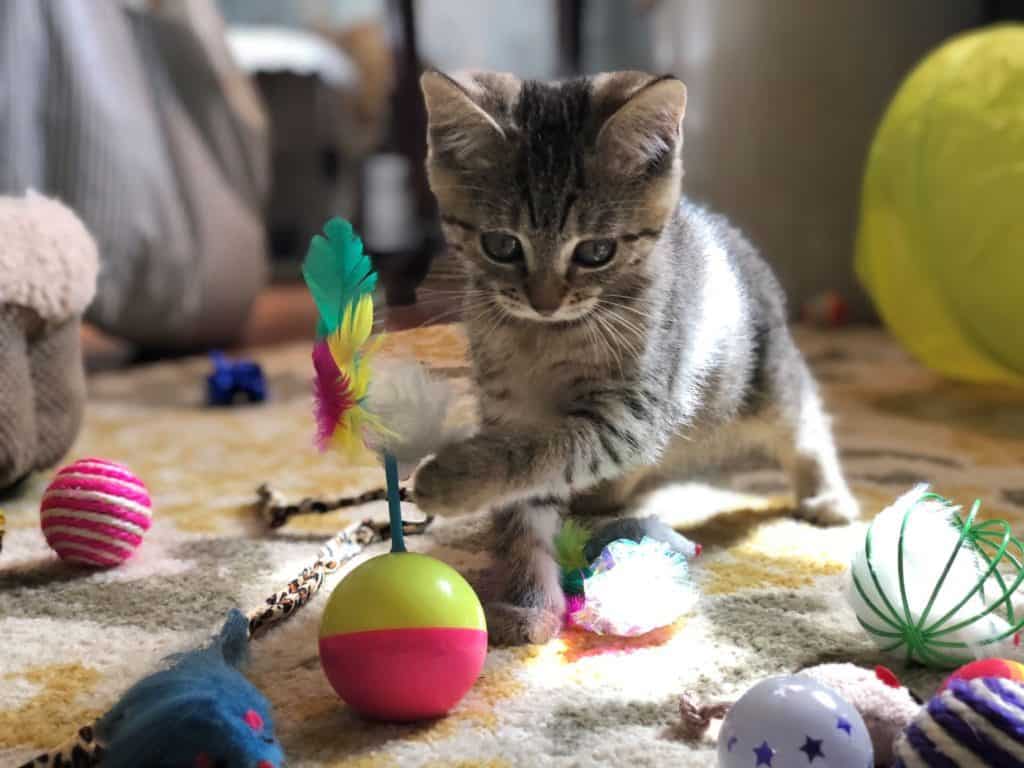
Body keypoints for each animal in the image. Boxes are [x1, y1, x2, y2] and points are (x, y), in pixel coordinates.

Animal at [407, 70, 856, 651]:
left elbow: (546, 449)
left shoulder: (629, 410)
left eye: (596, 252)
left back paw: (826, 493)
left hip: (761, 377)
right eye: (501, 245)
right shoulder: (511, 409)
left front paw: (452, 478)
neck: (544, 337)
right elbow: (526, 504)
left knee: (804, 420)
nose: (544, 301)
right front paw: (528, 600)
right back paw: (604, 494)